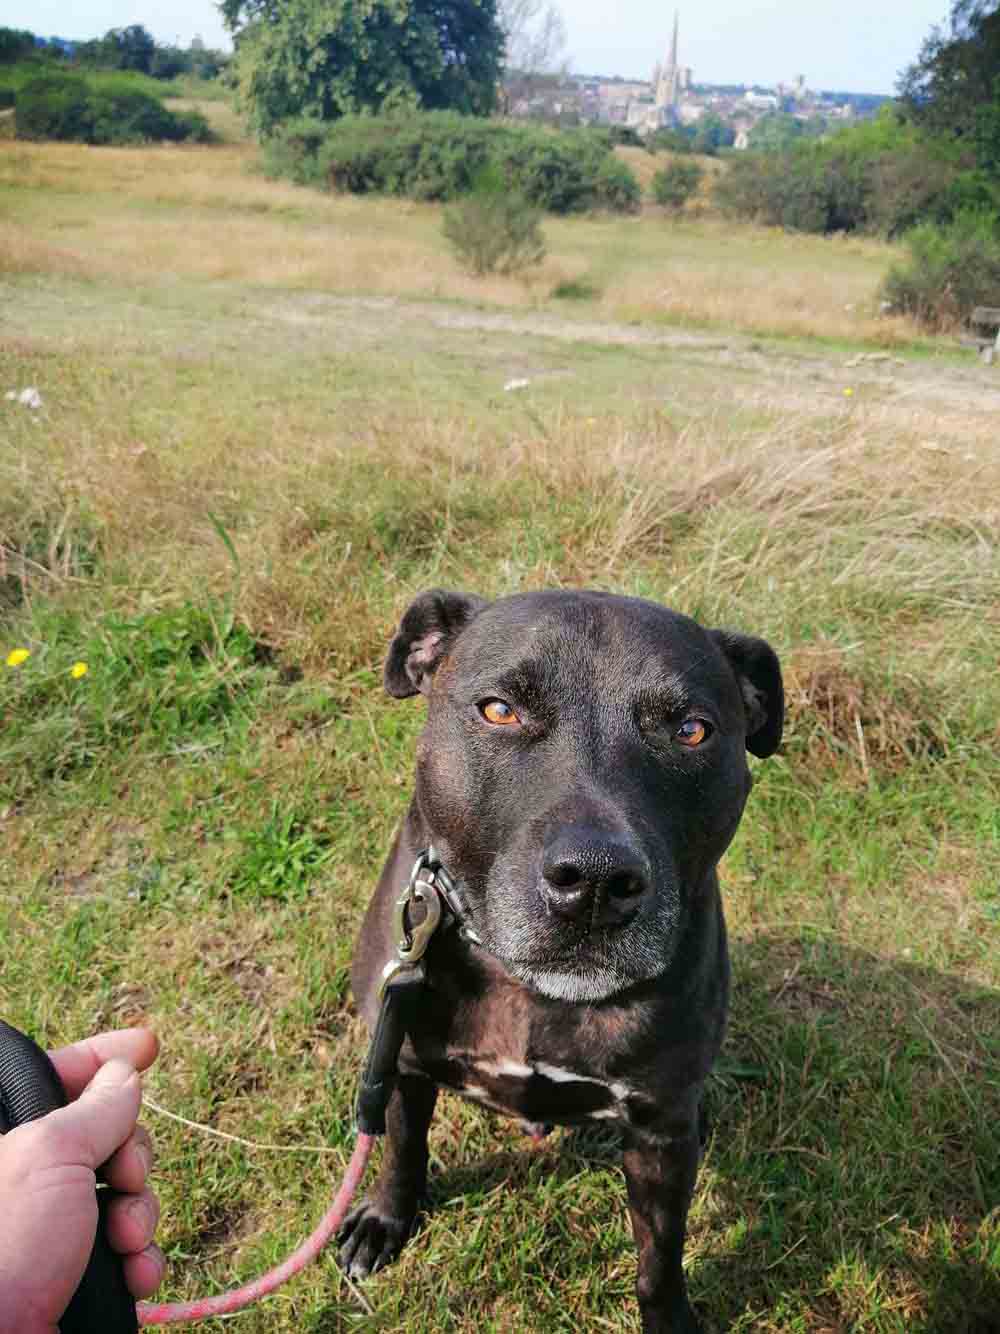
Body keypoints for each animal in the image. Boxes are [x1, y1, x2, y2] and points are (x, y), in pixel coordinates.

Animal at [341, 589, 789, 1328]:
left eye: (692, 731)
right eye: (500, 709)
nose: (597, 882)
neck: (527, 987)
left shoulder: (659, 1134)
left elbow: (659, 1254)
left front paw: (669, 1319)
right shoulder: (398, 1060)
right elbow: (401, 1147)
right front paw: (386, 1219)